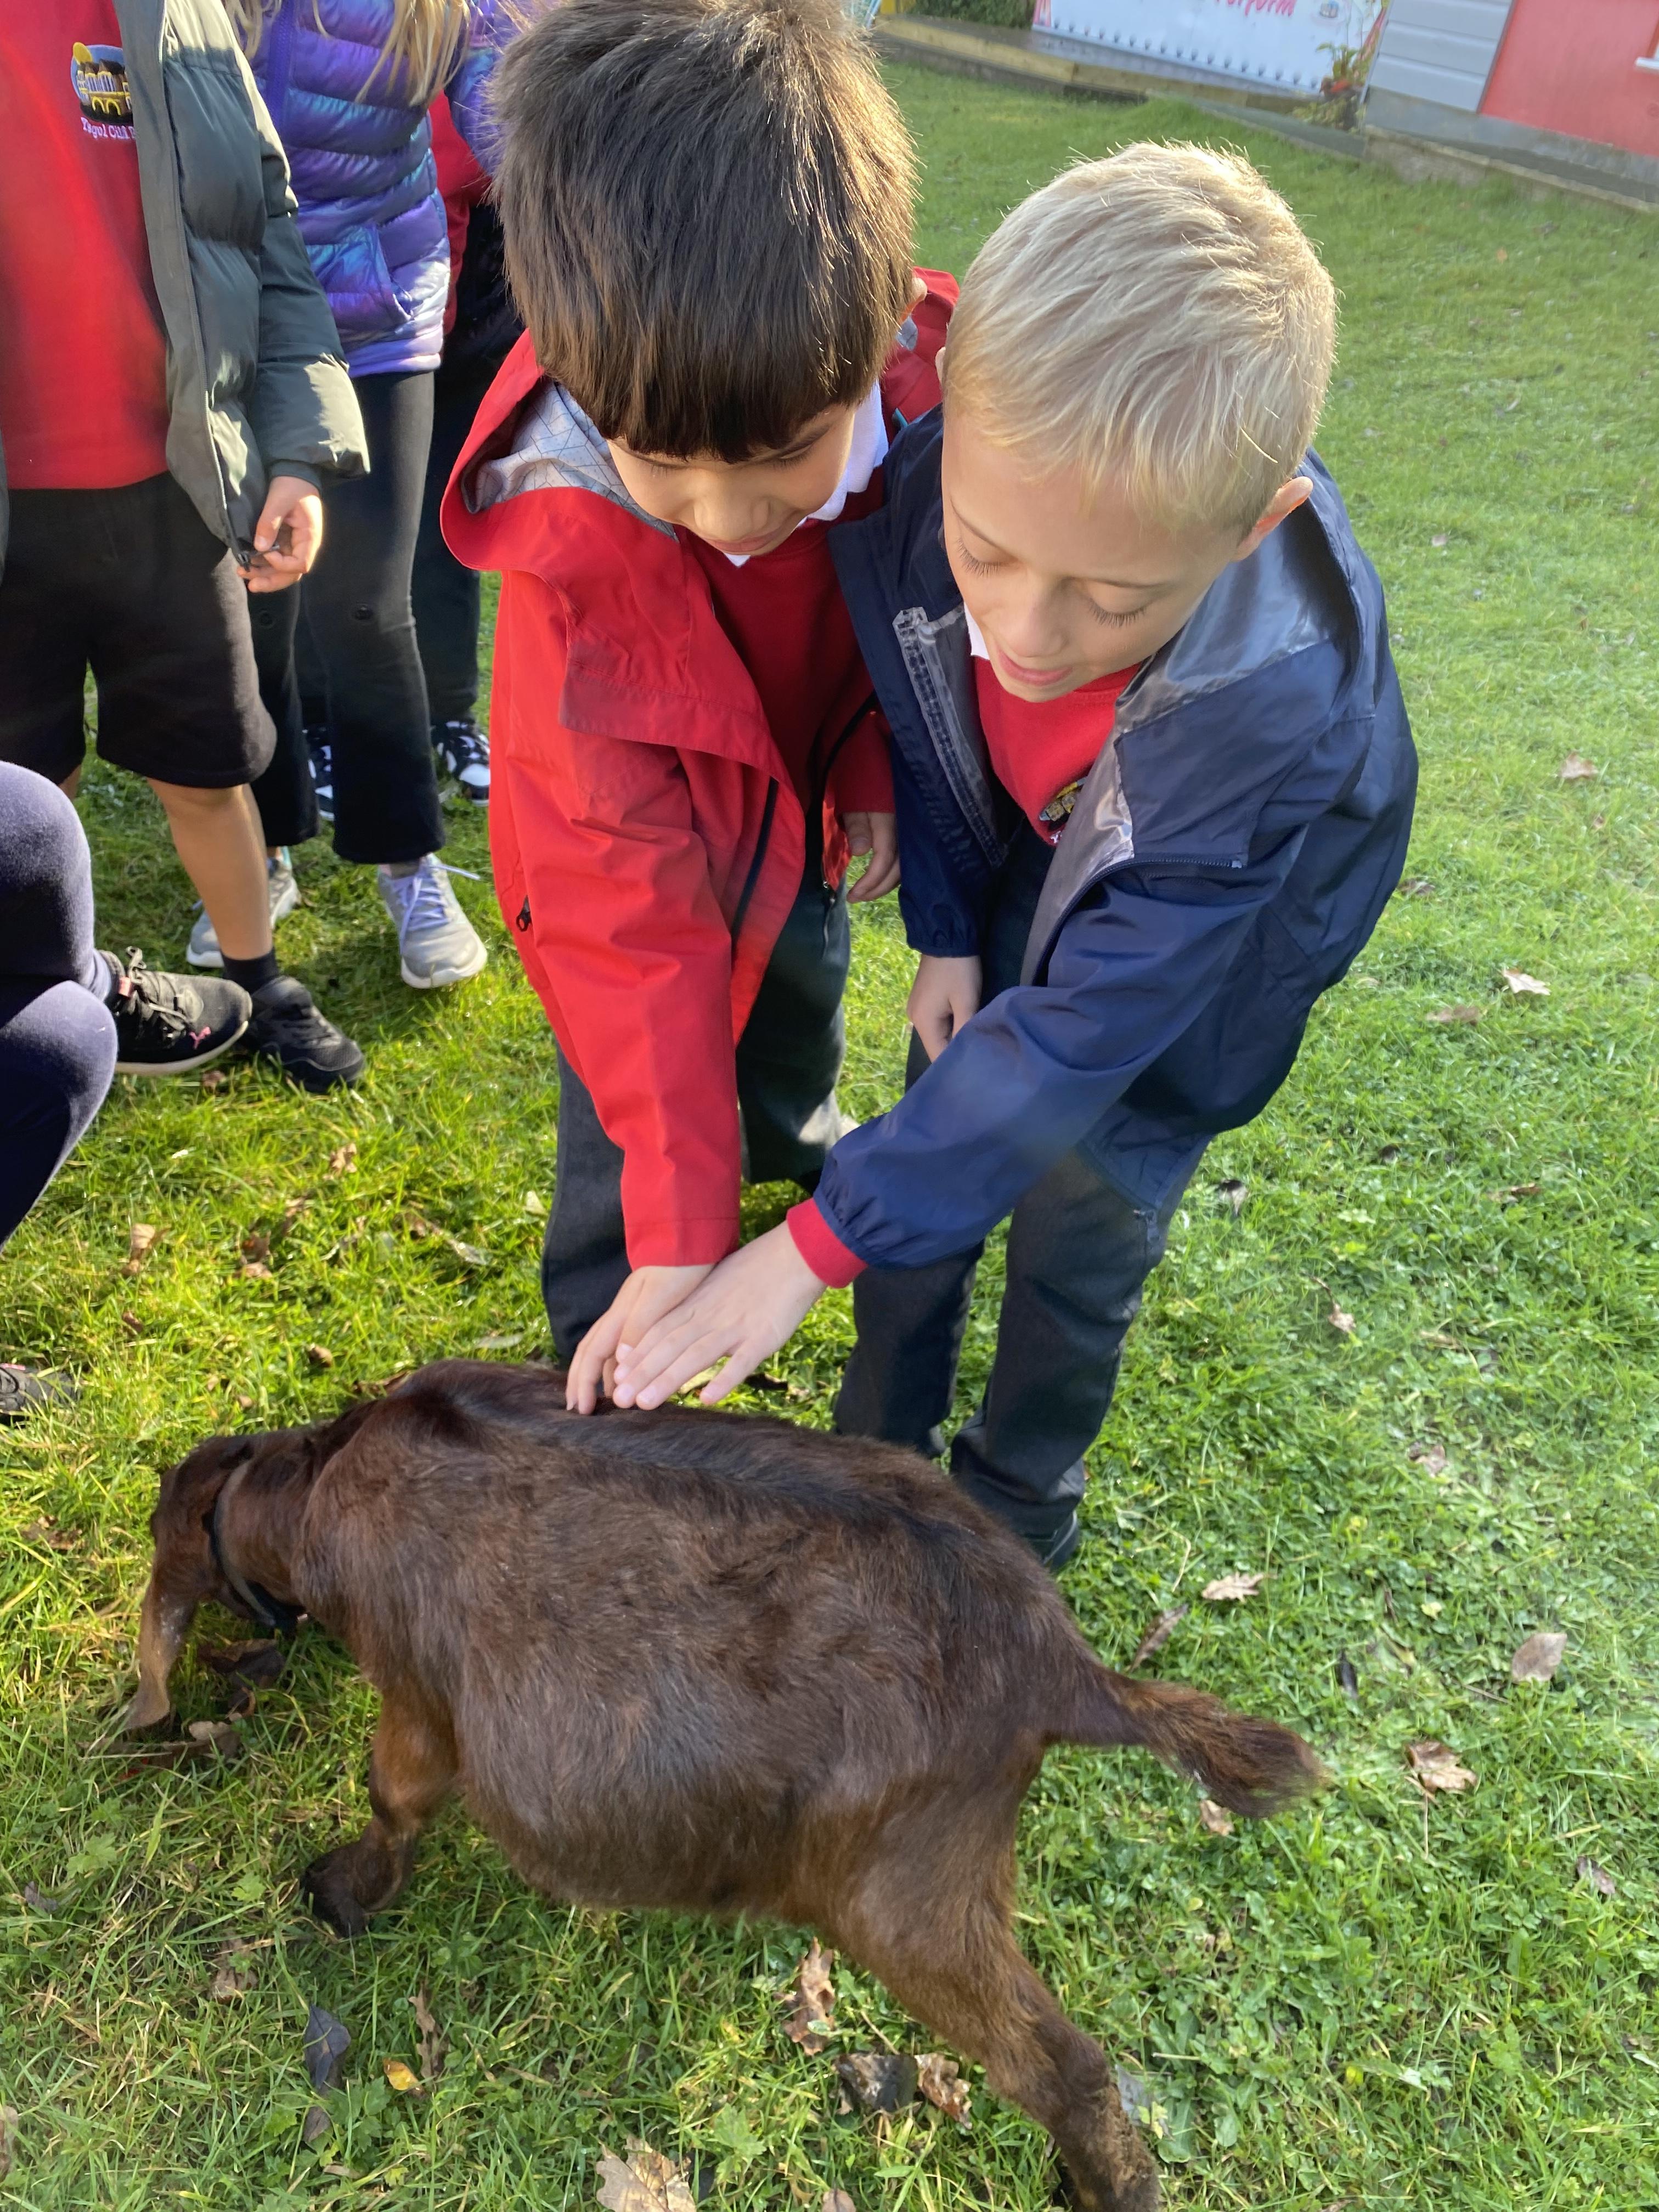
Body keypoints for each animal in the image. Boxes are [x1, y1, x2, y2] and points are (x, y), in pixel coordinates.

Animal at [125, 1358, 1325, 2212]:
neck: (317, 1478)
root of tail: (1063, 1671)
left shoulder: (419, 1692)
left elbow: (397, 1795)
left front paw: (340, 1893)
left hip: (905, 1900)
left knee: (1063, 2066)